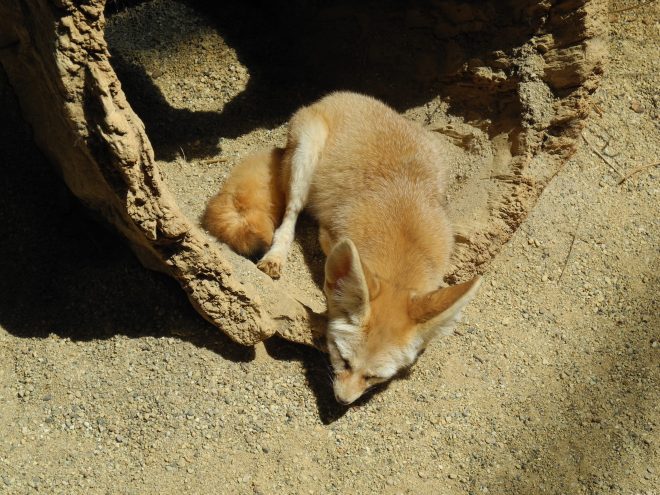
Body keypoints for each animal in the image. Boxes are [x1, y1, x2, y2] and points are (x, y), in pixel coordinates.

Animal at [204, 92, 482, 404]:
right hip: (305, 157)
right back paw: (276, 255)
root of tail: (342, 95)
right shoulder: (332, 234)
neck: (404, 247)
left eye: (374, 377)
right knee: (290, 215)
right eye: (343, 360)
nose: (343, 401)